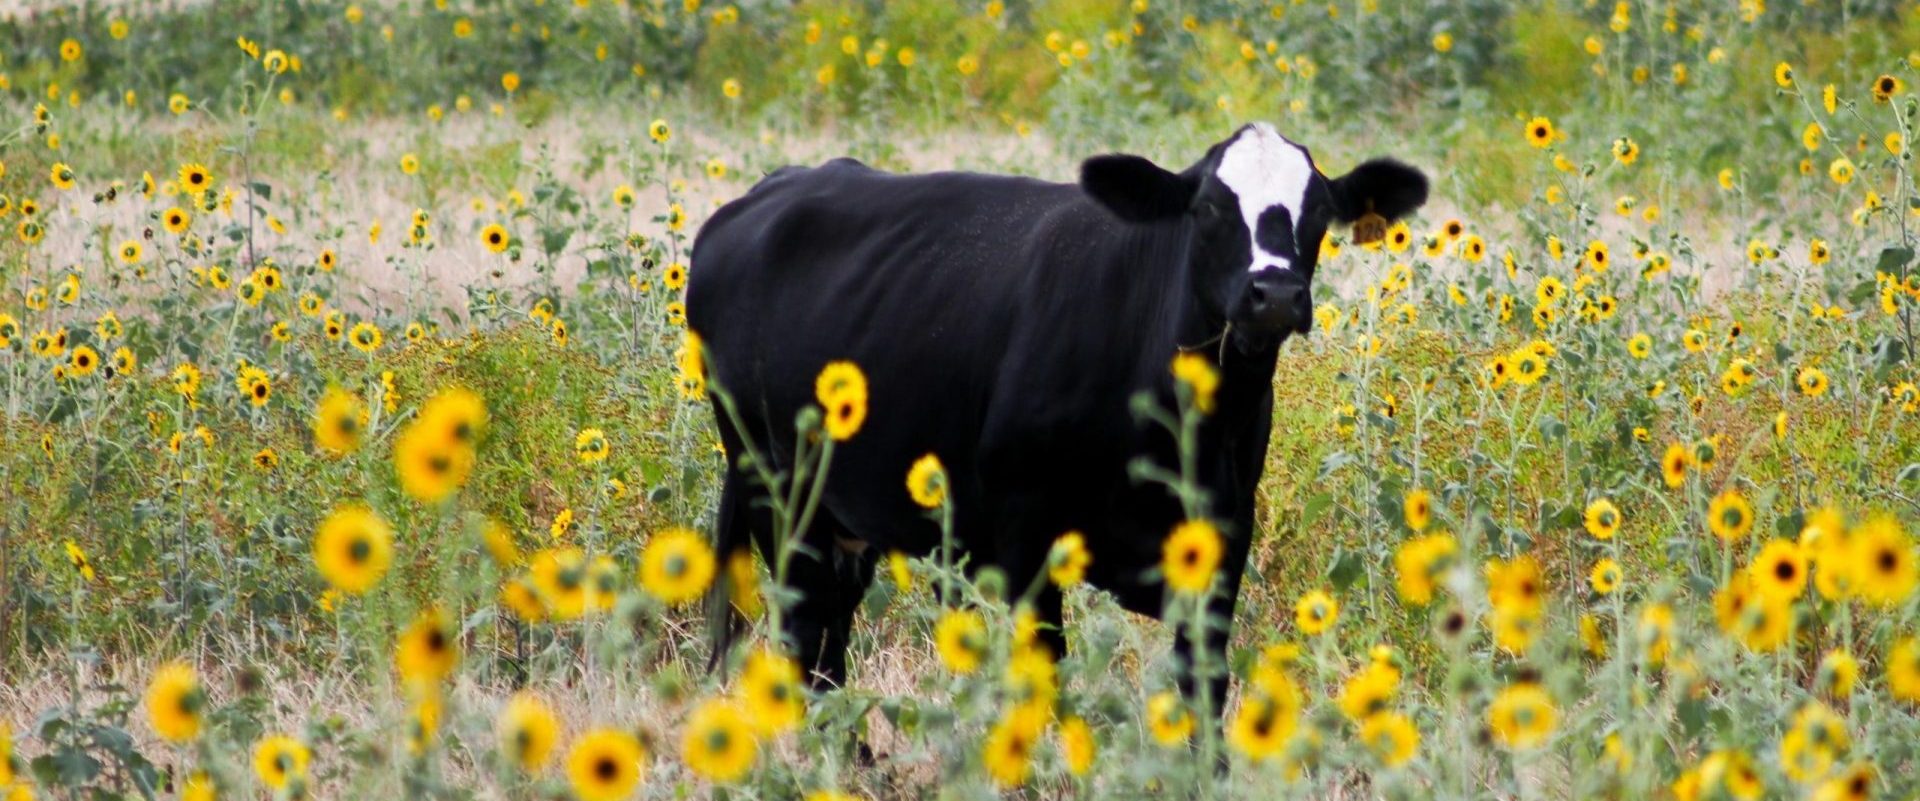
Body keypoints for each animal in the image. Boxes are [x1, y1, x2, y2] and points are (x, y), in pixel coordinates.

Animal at [691, 121, 1428, 703]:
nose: (1273, 294)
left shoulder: (1224, 536)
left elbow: (1203, 688)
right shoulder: (1025, 535)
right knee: (802, 638)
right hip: (776, 493)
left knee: (829, 644)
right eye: (1209, 208)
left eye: (1318, 210)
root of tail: (769, 191)